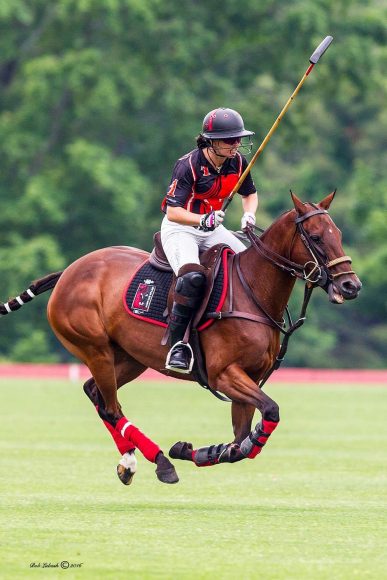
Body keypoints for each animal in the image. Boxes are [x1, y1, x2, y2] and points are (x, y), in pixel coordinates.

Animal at [1, 191, 362, 484]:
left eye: (339, 234)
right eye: (315, 237)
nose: (350, 285)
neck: (253, 291)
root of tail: (68, 272)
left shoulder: (251, 377)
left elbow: (239, 443)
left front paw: (194, 450)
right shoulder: (224, 374)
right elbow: (269, 413)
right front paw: (183, 451)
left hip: (131, 357)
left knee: (97, 394)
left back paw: (131, 462)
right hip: (94, 347)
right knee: (111, 407)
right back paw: (159, 463)